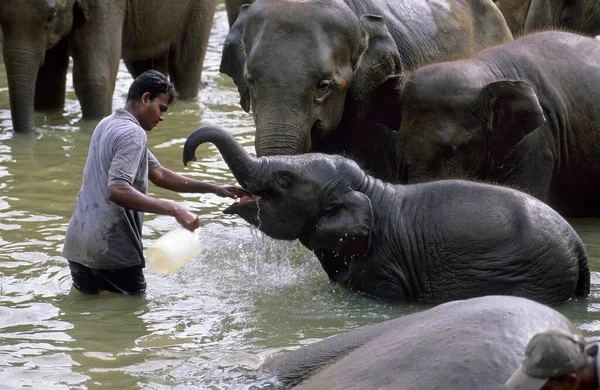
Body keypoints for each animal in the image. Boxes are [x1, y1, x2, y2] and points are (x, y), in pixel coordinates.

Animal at [0, 0, 219, 133]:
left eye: (51, 16)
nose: (34, 132)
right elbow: (49, 78)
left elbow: (95, 79)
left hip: (200, 9)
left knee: (185, 65)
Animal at [183, 126, 592, 306]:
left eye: (285, 180)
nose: (189, 157)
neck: (370, 189)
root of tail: (578, 245)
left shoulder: (384, 264)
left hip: (533, 273)